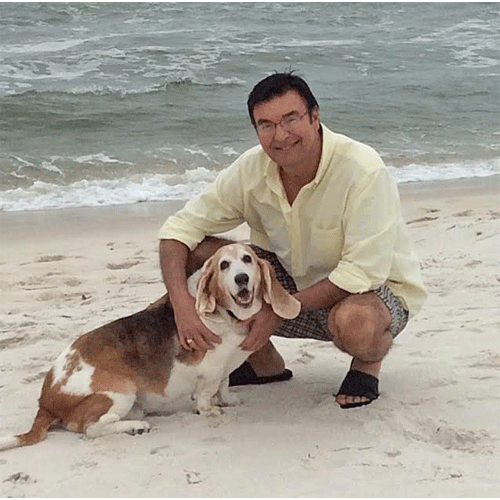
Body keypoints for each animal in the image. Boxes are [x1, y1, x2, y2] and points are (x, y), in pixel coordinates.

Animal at [0, 243, 300, 450]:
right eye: (224, 265)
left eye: (247, 259)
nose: (241, 279)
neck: (229, 315)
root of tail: (46, 400)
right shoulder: (211, 370)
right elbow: (207, 394)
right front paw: (210, 409)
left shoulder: (224, 368)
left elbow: (224, 385)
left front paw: (227, 400)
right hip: (120, 392)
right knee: (91, 428)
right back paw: (136, 425)